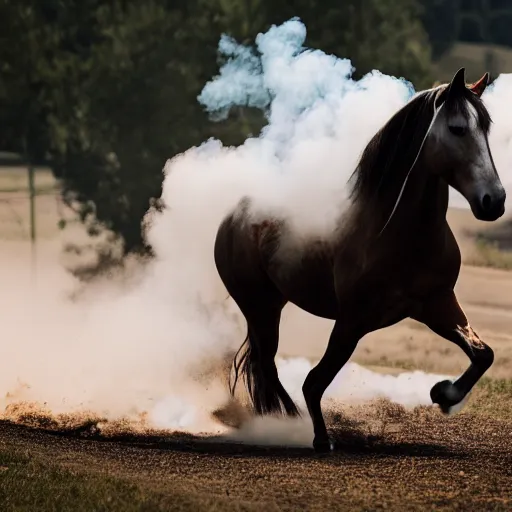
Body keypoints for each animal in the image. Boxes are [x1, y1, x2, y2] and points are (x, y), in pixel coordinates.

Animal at [214, 67, 506, 452]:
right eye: (458, 128)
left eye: (486, 127)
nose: (495, 201)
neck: (396, 230)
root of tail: (235, 214)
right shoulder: (353, 319)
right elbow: (314, 381)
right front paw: (322, 439)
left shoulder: (437, 304)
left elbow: (482, 354)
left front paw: (443, 393)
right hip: (259, 307)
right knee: (268, 365)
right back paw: (287, 423)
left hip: (271, 305)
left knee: (266, 367)